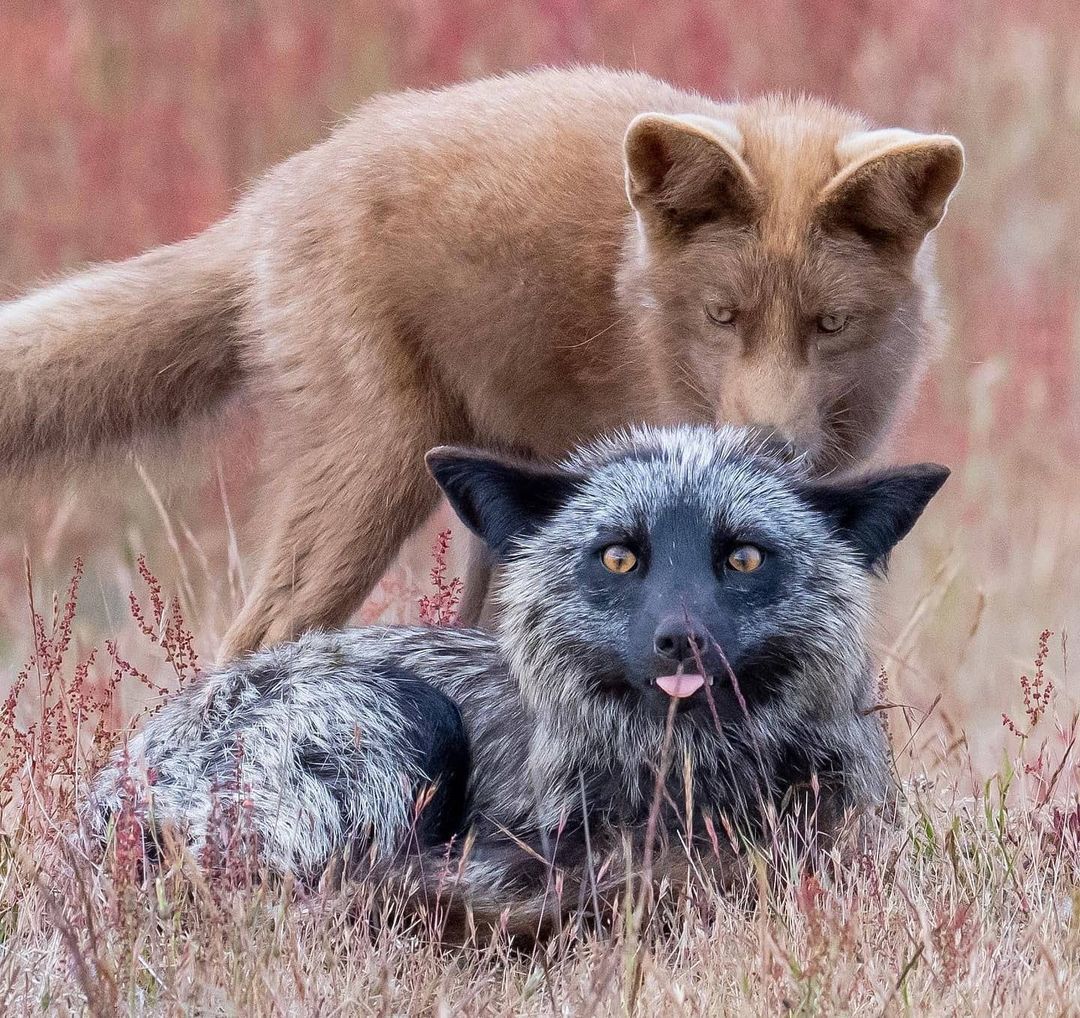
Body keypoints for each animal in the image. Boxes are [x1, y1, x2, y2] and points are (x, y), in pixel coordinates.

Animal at [0, 65, 963, 660]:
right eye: (722, 317)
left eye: (830, 324)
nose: (768, 449)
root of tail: (272, 196)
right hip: (376, 479)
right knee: (257, 639)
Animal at [86, 425, 946, 937]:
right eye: (619, 556)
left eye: (743, 557)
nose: (681, 642)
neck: (694, 790)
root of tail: (108, 795)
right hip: (406, 721)